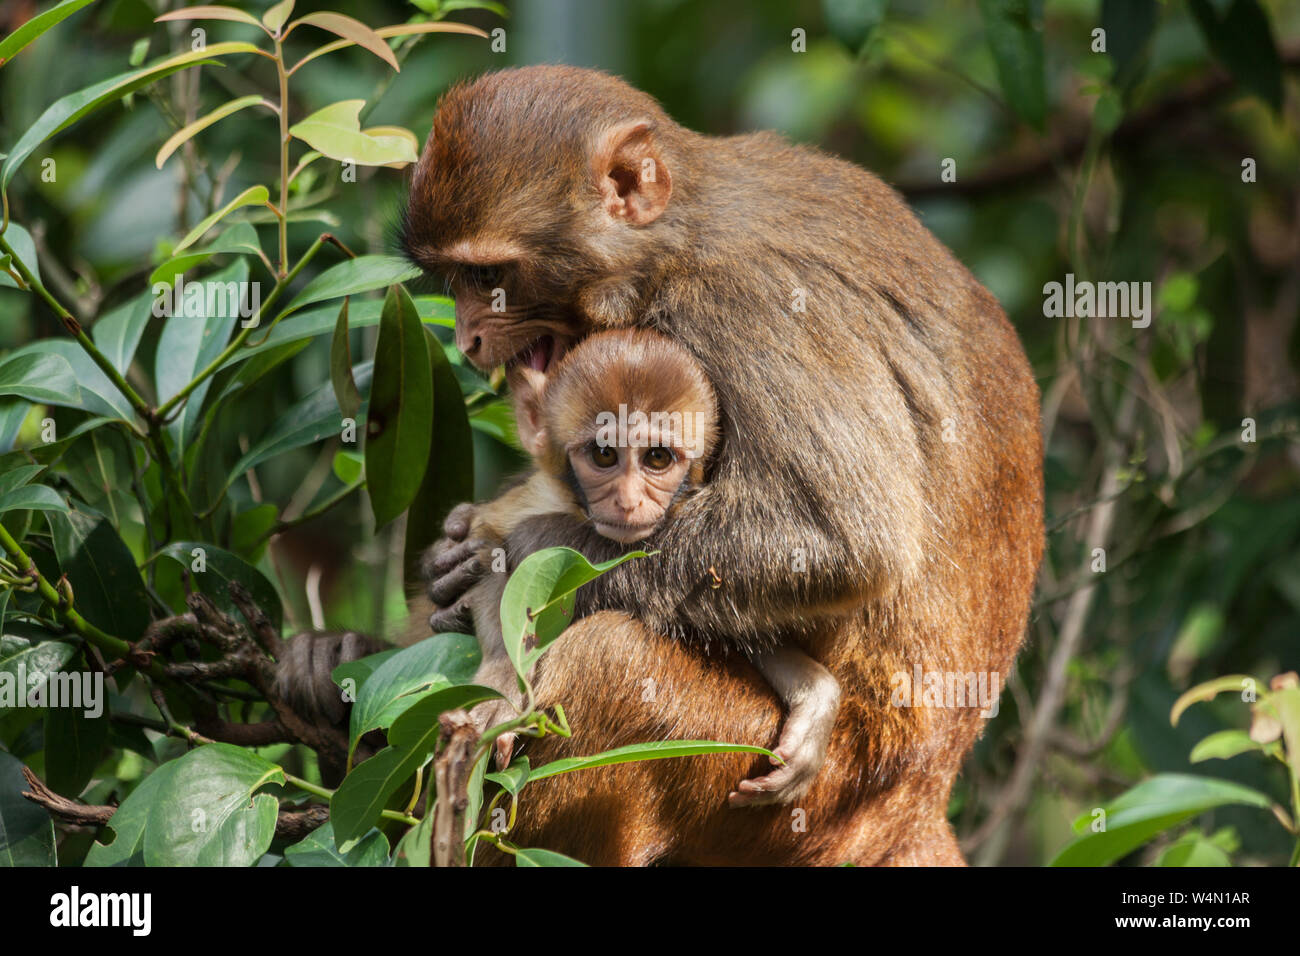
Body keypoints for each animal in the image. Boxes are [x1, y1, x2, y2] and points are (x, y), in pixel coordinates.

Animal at [460, 327, 842, 804]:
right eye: (604, 455)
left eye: (657, 458)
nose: (628, 501)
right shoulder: (523, 504)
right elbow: (488, 559)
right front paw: (503, 679)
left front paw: (814, 695)